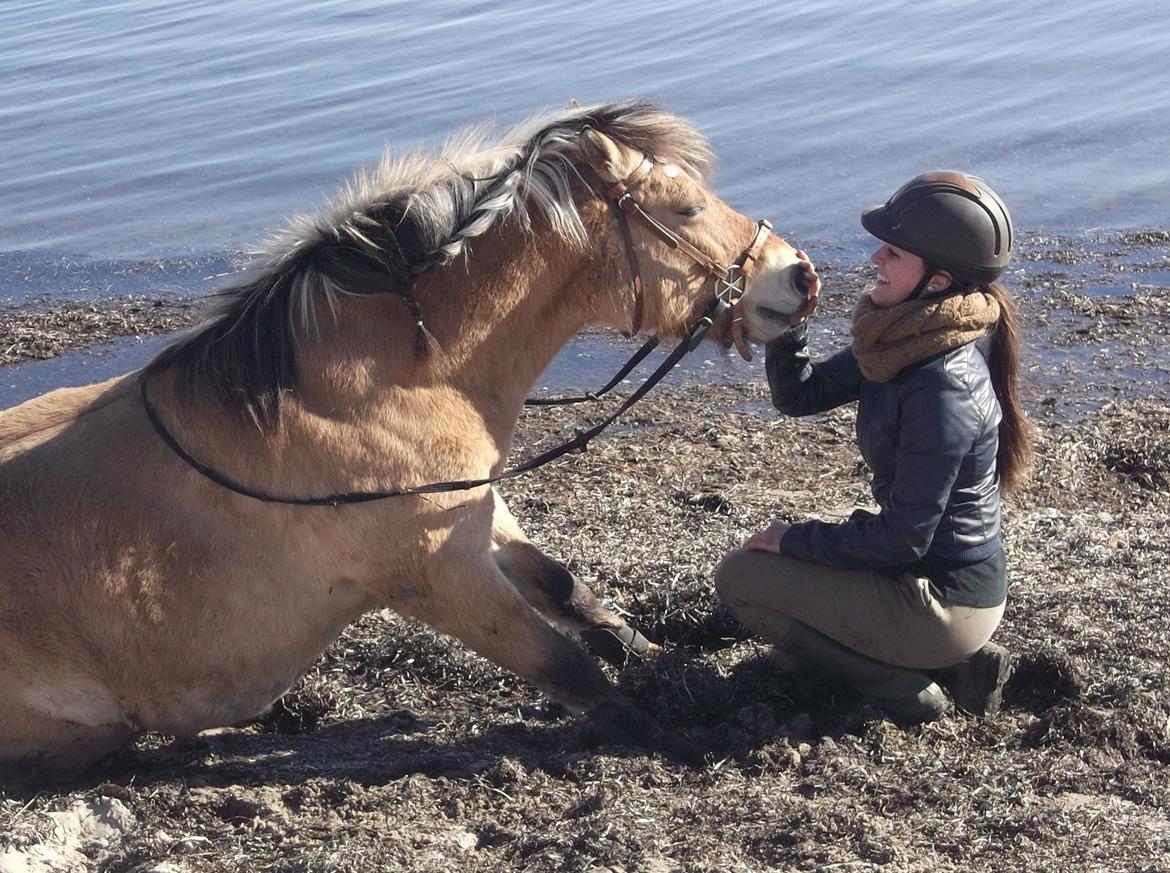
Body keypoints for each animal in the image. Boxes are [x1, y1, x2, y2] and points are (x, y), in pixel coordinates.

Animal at [0, 98, 814, 772]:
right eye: (686, 207)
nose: (799, 276)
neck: (385, 385)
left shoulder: (480, 516)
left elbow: (573, 594)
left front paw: (660, 660)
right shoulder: (436, 575)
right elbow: (565, 664)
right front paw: (684, 738)